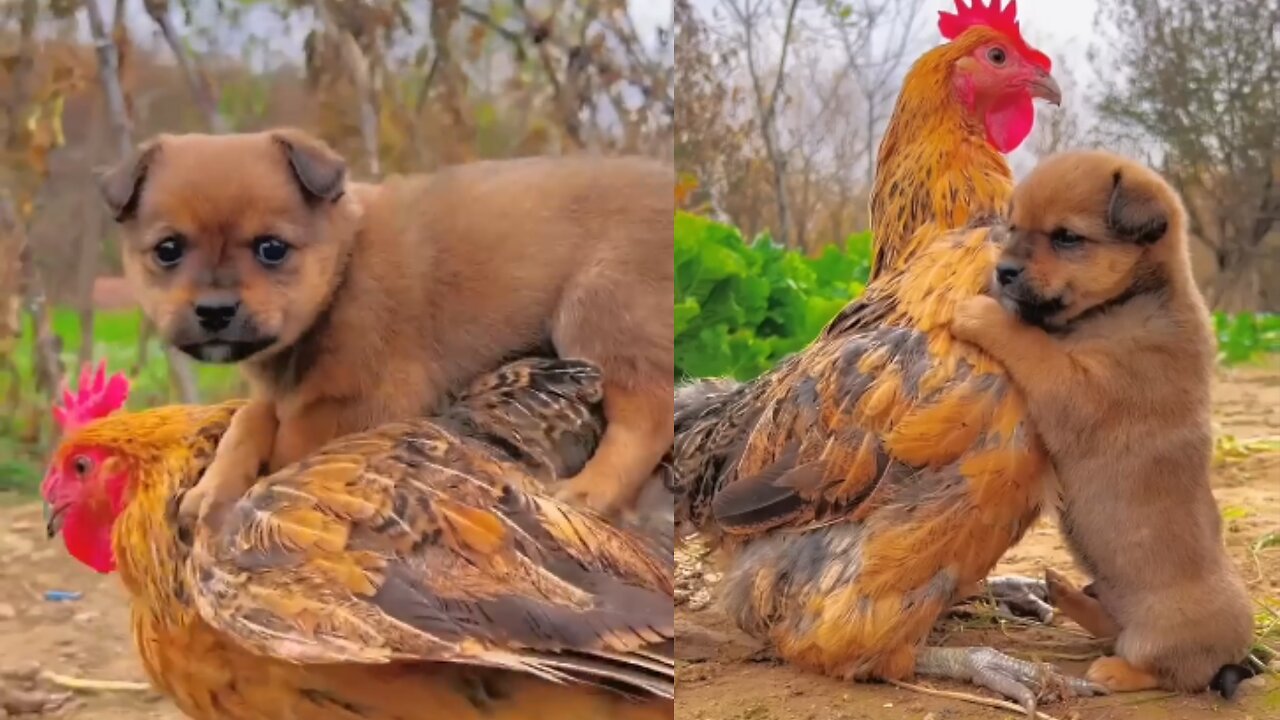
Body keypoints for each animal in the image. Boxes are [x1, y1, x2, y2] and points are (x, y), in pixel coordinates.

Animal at [99, 128, 675, 517]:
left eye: (272, 249)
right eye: (168, 250)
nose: (216, 310)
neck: (343, 268)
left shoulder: (368, 403)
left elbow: (289, 439)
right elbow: (251, 416)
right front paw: (213, 486)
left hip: (599, 311)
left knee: (647, 419)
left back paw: (591, 488)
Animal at [952, 148, 1249, 691]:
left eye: (1067, 237)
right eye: (1013, 228)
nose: (1004, 270)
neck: (1130, 300)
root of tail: (1234, 655)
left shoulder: (1078, 390)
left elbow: (1028, 342)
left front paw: (982, 313)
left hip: (1160, 635)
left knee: (1161, 667)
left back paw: (1115, 671)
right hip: (1109, 591)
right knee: (1109, 623)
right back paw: (1065, 591)